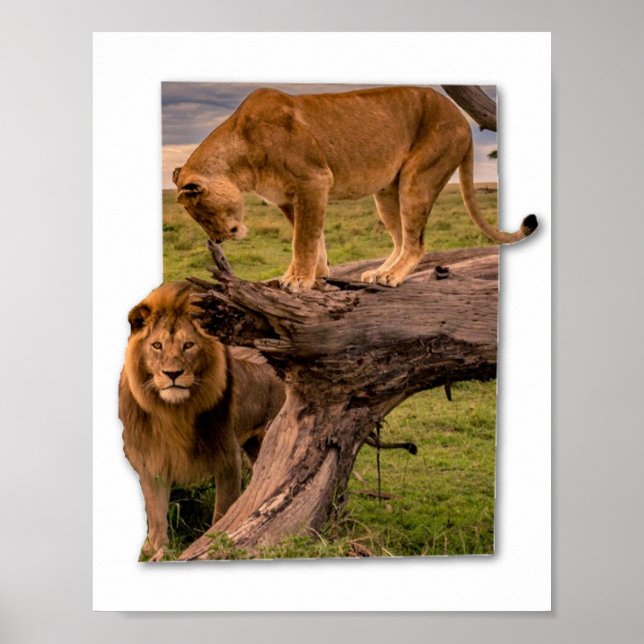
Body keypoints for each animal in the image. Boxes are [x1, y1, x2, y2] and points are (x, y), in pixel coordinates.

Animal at [118, 281, 285, 560]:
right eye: (156, 346)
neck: (174, 412)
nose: (172, 373)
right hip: (253, 442)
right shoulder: (152, 459)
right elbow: (156, 513)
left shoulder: (227, 457)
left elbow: (222, 510)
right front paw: (157, 551)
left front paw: (215, 542)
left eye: (188, 345)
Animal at [172, 86, 537, 291]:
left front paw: (298, 281)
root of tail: (462, 118)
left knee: (416, 243)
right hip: (387, 192)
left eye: (203, 213)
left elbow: (303, 239)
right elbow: (312, 238)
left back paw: (392, 277)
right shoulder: (290, 199)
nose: (220, 238)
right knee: (401, 238)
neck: (239, 160)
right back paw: (380, 272)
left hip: (419, 176)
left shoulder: (314, 180)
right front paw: (315, 276)